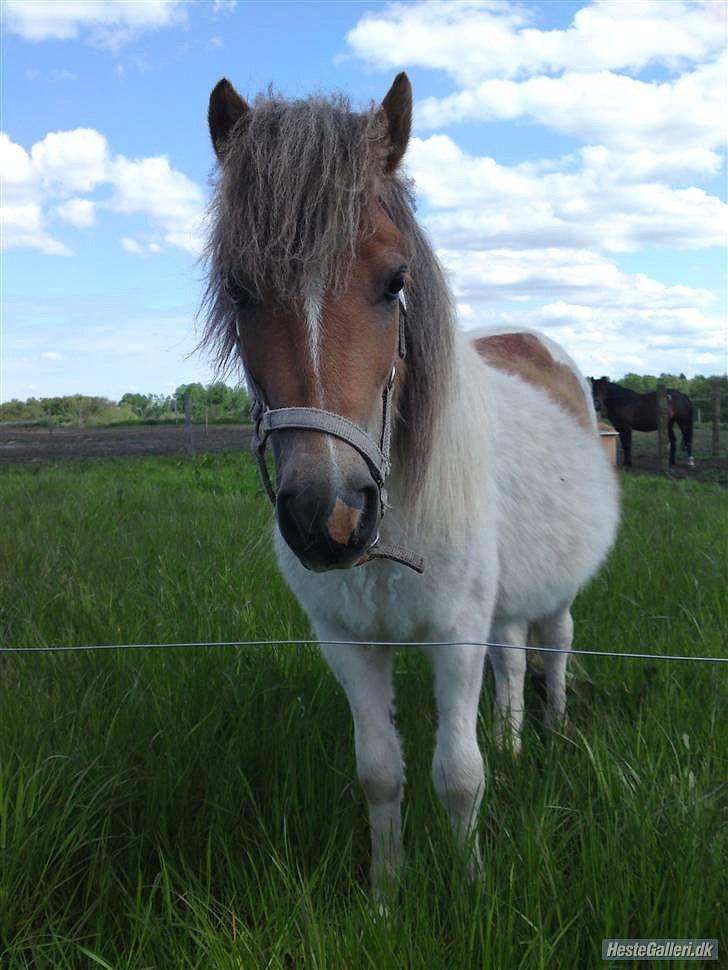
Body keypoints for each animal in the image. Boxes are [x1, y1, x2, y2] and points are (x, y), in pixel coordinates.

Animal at [203, 72, 620, 896]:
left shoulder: (453, 636)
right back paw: (516, 738)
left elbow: (458, 775)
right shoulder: (347, 644)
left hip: (555, 590)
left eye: (396, 281)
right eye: (238, 289)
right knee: (513, 657)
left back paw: (553, 732)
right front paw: (387, 893)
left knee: (553, 645)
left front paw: (470, 891)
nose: (328, 515)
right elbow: (381, 773)